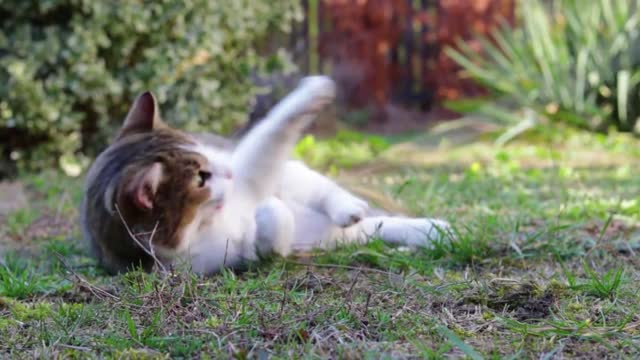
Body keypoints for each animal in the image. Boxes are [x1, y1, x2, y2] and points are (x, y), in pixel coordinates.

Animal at [81, 75, 450, 272]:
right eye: (200, 179)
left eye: (199, 148)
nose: (226, 171)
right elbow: (271, 224)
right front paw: (270, 220)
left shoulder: (249, 171)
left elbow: (271, 130)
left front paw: (315, 90)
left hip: (294, 177)